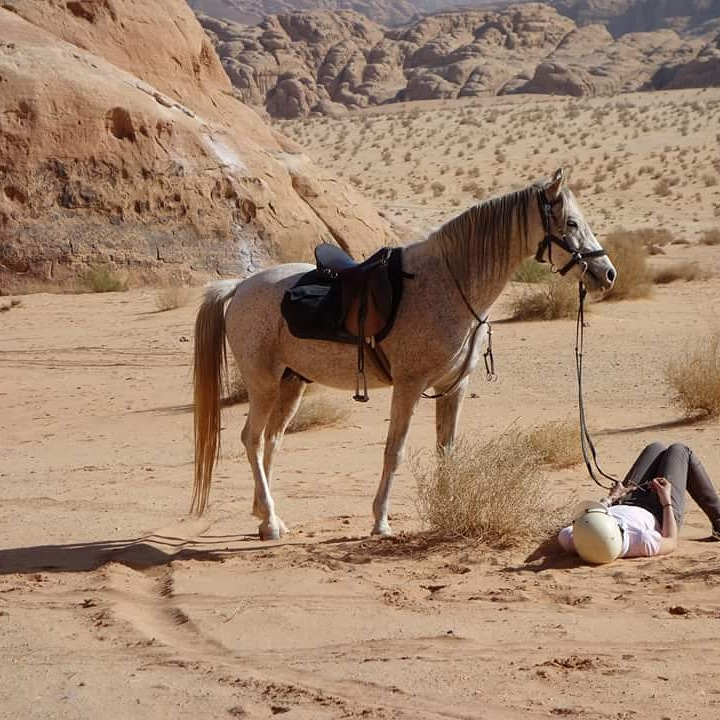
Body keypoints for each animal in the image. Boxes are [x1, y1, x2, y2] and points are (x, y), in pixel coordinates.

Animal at [194, 172, 616, 536]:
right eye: (572, 223)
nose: (607, 273)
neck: (450, 283)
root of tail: (240, 286)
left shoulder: (454, 388)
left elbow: (446, 449)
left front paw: (449, 506)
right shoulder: (409, 386)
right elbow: (394, 451)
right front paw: (380, 521)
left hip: (291, 383)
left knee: (271, 440)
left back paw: (266, 515)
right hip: (264, 384)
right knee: (251, 439)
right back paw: (269, 521)